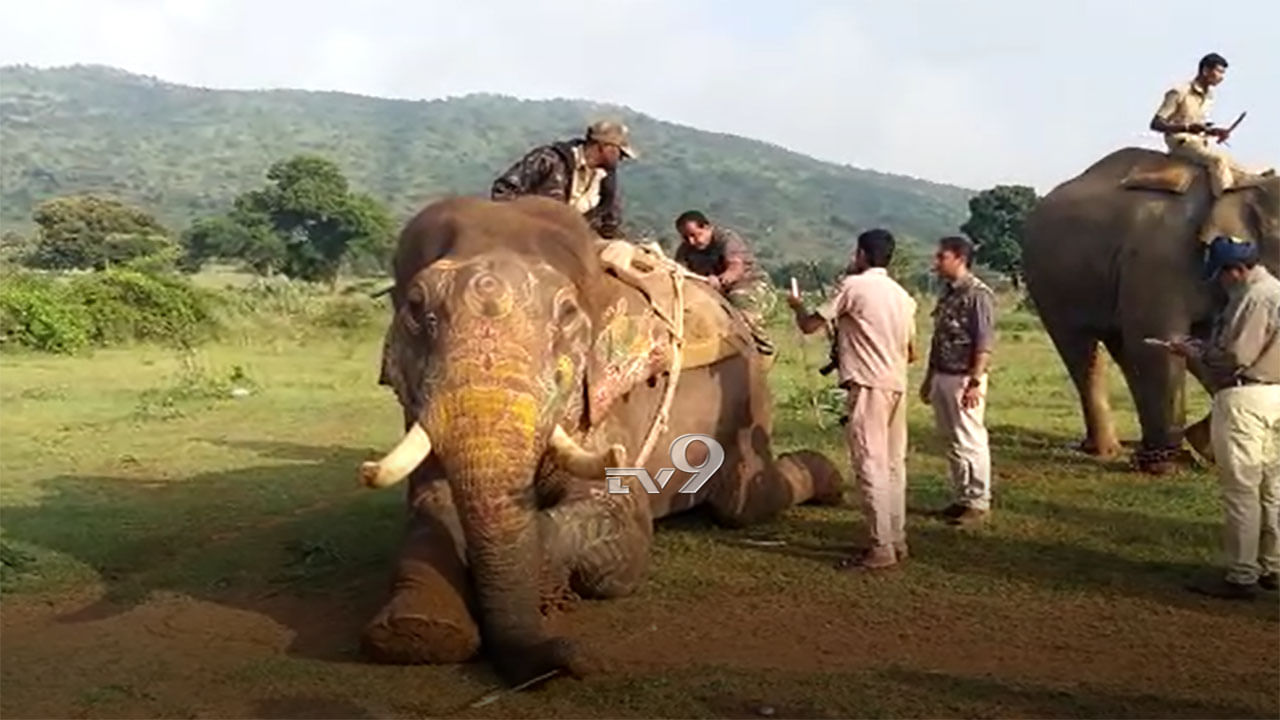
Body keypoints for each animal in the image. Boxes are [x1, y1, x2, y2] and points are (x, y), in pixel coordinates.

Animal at [355, 193, 844, 681]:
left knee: (741, 501)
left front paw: (543, 592)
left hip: (749, 395)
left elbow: (622, 530)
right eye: (415, 309)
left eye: (568, 315)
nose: (573, 660)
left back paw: (831, 482)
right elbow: (431, 506)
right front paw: (417, 632)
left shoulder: (611, 399)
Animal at [1024, 146, 1280, 471]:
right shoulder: (1159, 262)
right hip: (1051, 285)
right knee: (1083, 352)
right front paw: (1168, 466)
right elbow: (1157, 345)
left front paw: (1205, 448)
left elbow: (1214, 346)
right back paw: (1109, 452)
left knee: (1122, 349)